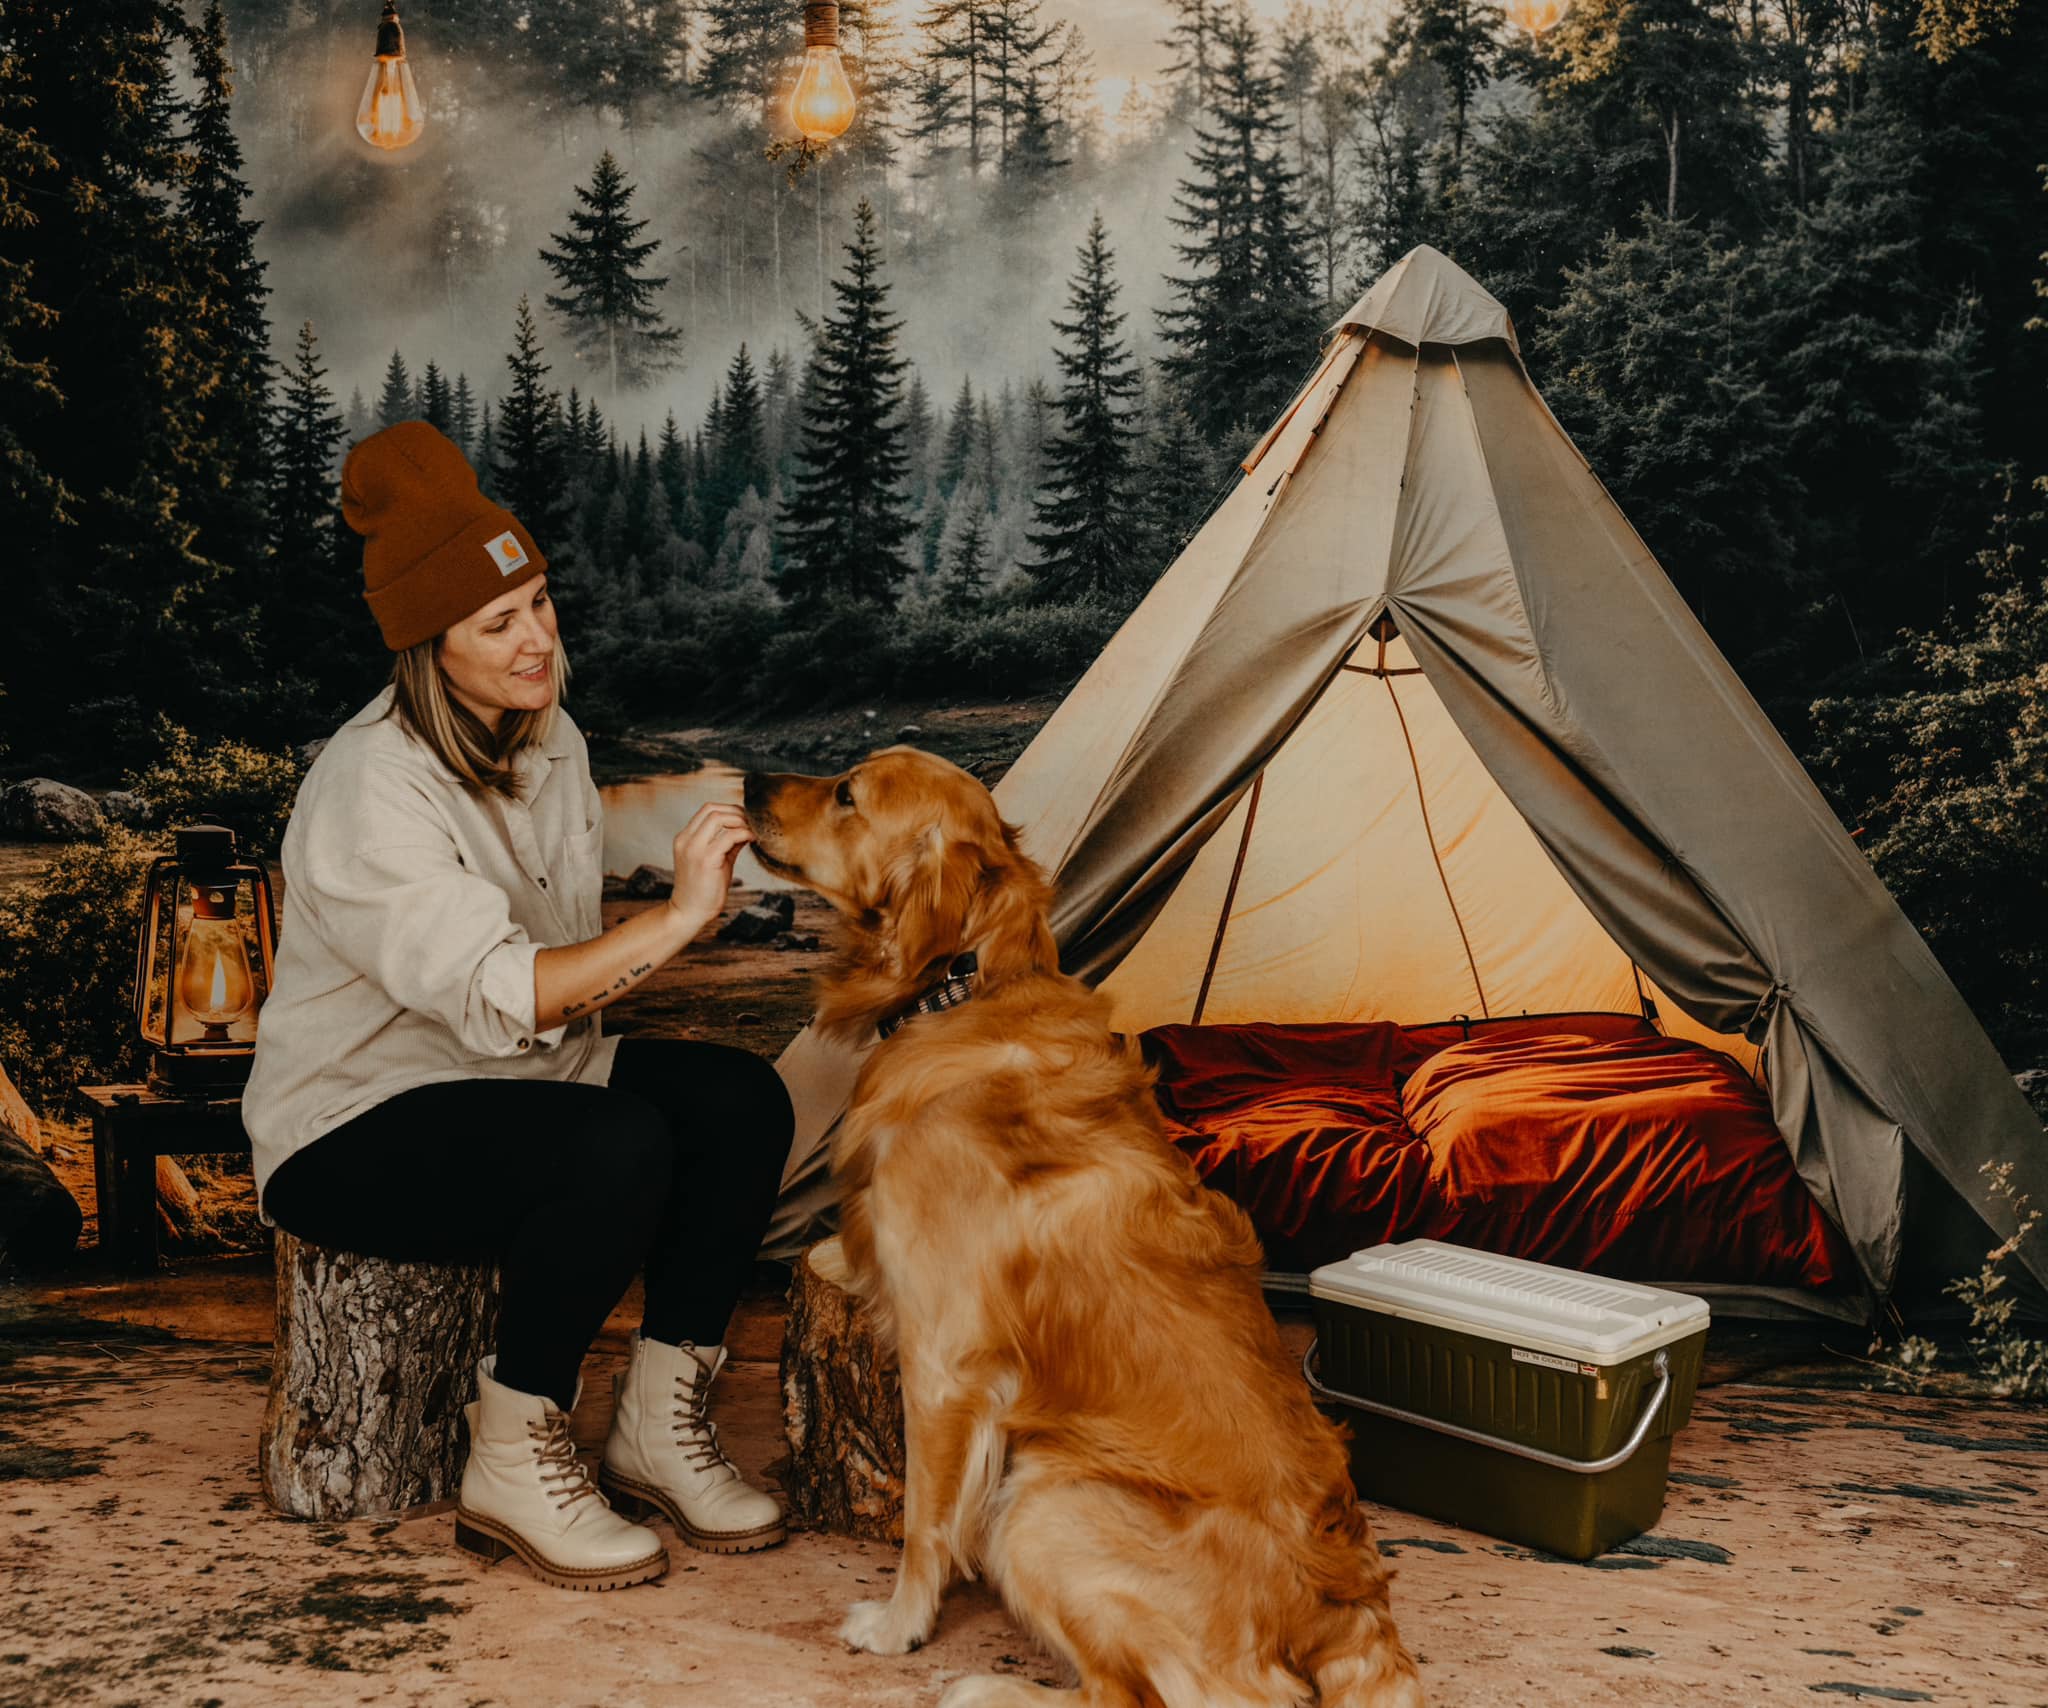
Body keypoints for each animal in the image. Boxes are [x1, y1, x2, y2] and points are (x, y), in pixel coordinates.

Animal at [745, 745, 1433, 1703]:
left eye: (846, 793)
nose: (745, 784)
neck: (961, 992)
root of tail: (1349, 1605)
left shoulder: (944, 1359)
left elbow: (925, 1522)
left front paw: (896, 1627)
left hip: (1042, 1500)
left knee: (1161, 1694)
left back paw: (982, 1688)